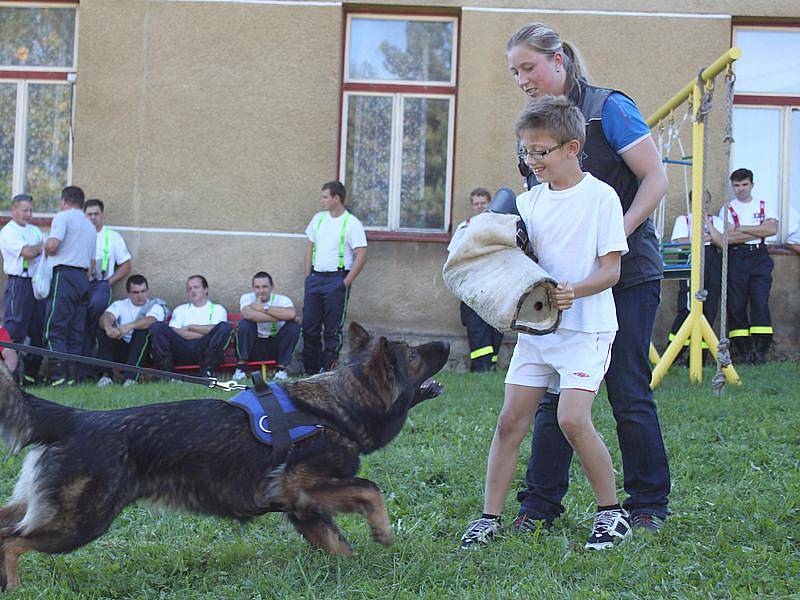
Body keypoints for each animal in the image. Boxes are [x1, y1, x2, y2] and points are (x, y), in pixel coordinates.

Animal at [0, 324, 450, 592]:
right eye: (412, 356)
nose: (446, 342)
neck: (337, 406)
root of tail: (76, 418)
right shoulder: (304, 486)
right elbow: (371, 490)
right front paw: (383, 531)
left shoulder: (304, 507)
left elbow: (339, 545)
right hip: (79, 523)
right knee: (11, 542)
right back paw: (16, 587)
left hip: (40, 509)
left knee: (6, 528)